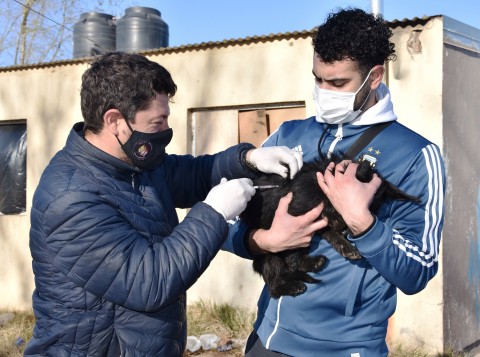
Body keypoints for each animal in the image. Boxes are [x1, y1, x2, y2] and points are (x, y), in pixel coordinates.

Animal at [240, 158, 420, 298]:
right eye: (350, 205)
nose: (349, 232)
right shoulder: (291, 219)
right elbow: (292, 252)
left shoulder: (320, 223)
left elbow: (331, 234)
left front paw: (346, 247)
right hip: (268, 255)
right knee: (275, 284)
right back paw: (294, 283)